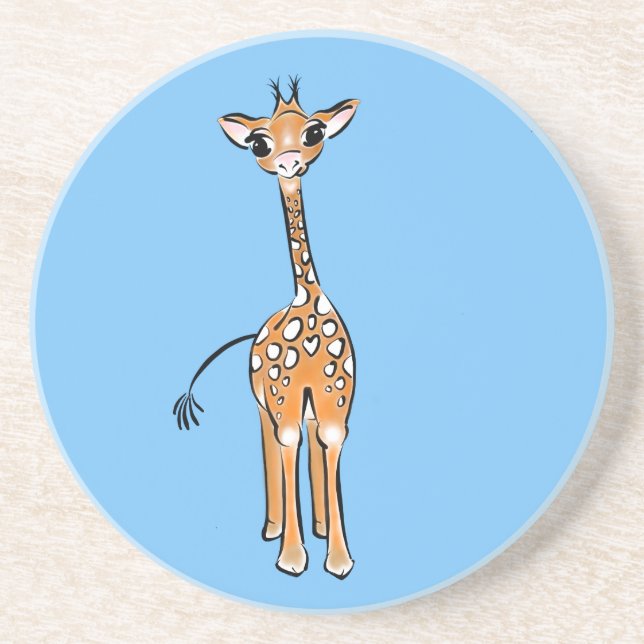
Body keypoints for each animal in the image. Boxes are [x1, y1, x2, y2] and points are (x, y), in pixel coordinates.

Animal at [173, 77, 359, 579]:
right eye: (259, 143)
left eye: (315, 132)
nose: (289, 162)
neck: (307, 303)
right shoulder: (282, 398)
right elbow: (287, 446)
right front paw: (292, 558)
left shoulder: (336, 402)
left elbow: (329, 447)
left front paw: (338, 558)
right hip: (264, 402)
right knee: (272, 445)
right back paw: (274, 528)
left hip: (306, 403)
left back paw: (318, 527)